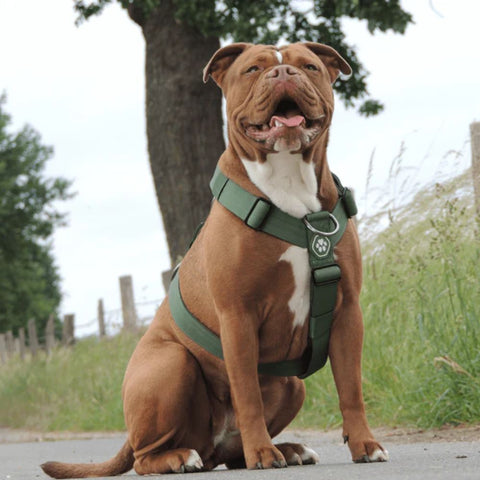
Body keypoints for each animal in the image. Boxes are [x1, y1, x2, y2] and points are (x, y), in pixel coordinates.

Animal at [40, 43, 386, 478]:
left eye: (309, 66)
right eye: (253, 69)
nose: (283, 73)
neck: (288, 183)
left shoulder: (346, 310)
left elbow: (351, 387)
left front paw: (364, 444)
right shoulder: (237, 316)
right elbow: (247, 393)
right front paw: (262, 453)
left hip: (294, 386)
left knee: (225, 453)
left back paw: (284, 449)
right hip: (171, 363)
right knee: (145, 457)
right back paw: (183, 457)